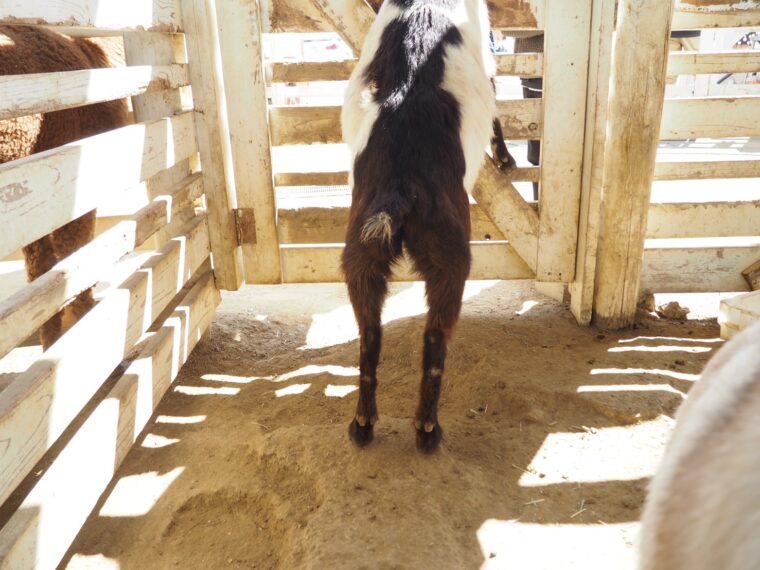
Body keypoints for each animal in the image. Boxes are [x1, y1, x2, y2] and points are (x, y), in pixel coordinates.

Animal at [340, 0, 510, 452]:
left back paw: (363, 424)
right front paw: (506, 159)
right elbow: (498, 107)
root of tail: (400, 182)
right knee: (434, 340)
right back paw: (428, 430)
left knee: (369, 336)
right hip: (451, 255)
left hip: (360, 253)